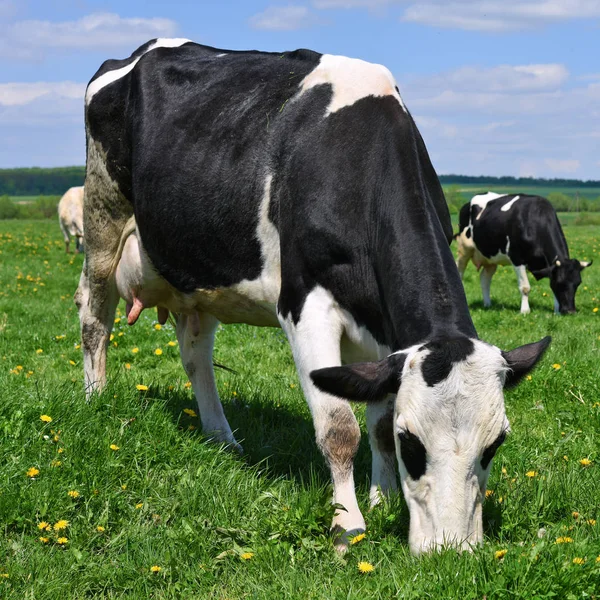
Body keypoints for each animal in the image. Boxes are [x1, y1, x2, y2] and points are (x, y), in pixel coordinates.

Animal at [77, 39, 552, 556]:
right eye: (412, 441)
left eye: (496, 443)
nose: (451, 550)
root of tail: (139, 52)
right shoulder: (305, 306)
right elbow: (339, 427)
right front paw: (348, 522)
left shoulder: (386, 333)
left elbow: (375, 423)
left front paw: (383, 499)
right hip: (101, 220)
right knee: (94, 317)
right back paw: (96, 398)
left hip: (197, 276)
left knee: (195, 355)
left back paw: (222, 437)